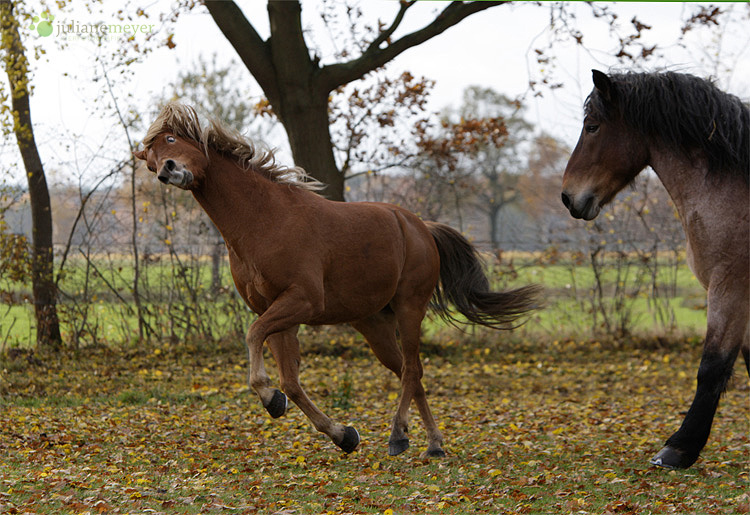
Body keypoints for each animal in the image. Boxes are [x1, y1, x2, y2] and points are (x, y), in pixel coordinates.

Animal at [135, 103, 540, 458]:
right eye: (151, 163)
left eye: (171, 139)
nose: (167, 170)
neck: (263, 220)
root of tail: (421, 227)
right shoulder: (279, 313)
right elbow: (291, 381)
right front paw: (340, 434)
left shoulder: (301, 301)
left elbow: (253, 336)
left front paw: (270, 398)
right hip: (375, 324)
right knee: (410, 372)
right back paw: (432, 443)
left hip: (410, 308)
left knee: (412, 369)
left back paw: (399, 436)